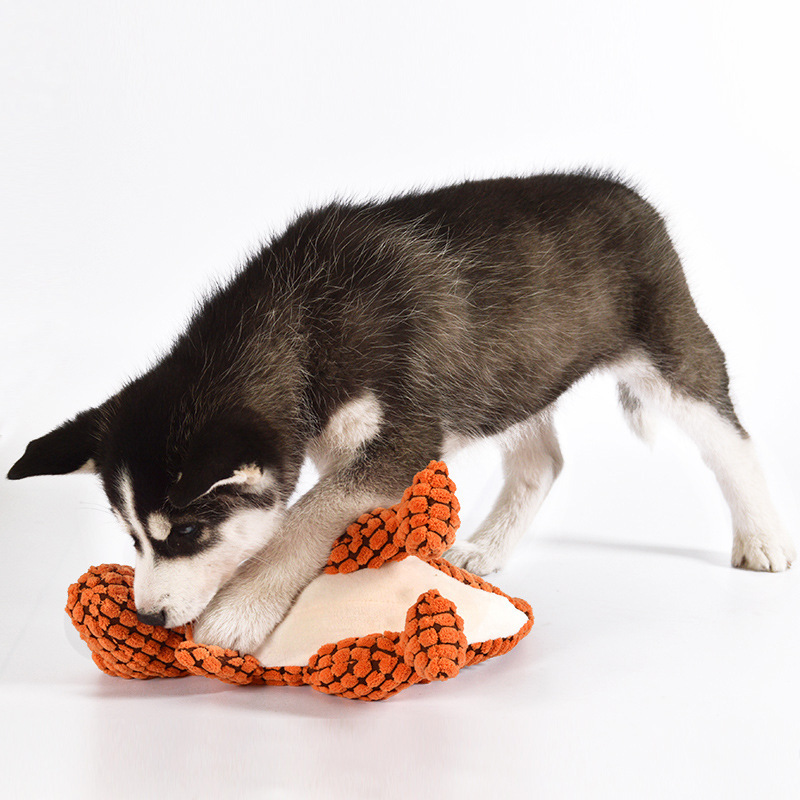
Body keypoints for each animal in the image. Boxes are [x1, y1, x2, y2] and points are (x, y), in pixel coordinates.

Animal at [7, 172, 792, 652]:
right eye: (130, 535)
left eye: (191, 532)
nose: (149, 616)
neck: (299, 322)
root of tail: (628, 195)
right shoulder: (338, 440)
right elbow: (315, 508)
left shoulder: (402, 436)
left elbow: (308, 517)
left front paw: (241, 610)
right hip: (508, 380)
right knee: (543, 460)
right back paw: (484, 550)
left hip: (670, 355)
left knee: (732, 438)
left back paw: (763, 539)